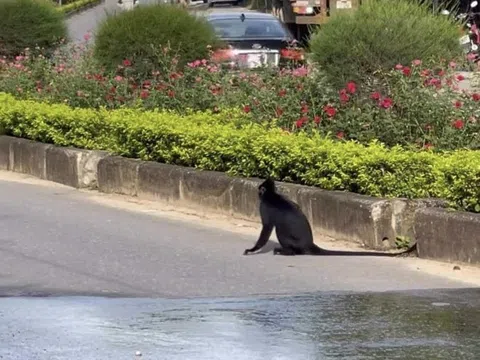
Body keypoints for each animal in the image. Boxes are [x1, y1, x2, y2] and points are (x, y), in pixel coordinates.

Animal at [244, 177, 416, 256]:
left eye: (260, 189)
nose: (258, 192)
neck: (272, 195)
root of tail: (309, 244)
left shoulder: (264, 207)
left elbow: (267, 228)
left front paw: (252, 250)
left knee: (280, 230)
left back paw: (287, 251)